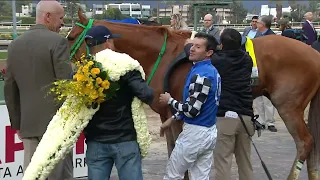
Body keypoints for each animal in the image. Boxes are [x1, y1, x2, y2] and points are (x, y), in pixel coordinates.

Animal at [66, 9, 318, 179]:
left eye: (70, 37)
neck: (163, 54)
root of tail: (314, 54)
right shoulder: (166, 116)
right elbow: (172, 151)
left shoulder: (180, 115)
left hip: (288, 106)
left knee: (305, 143)